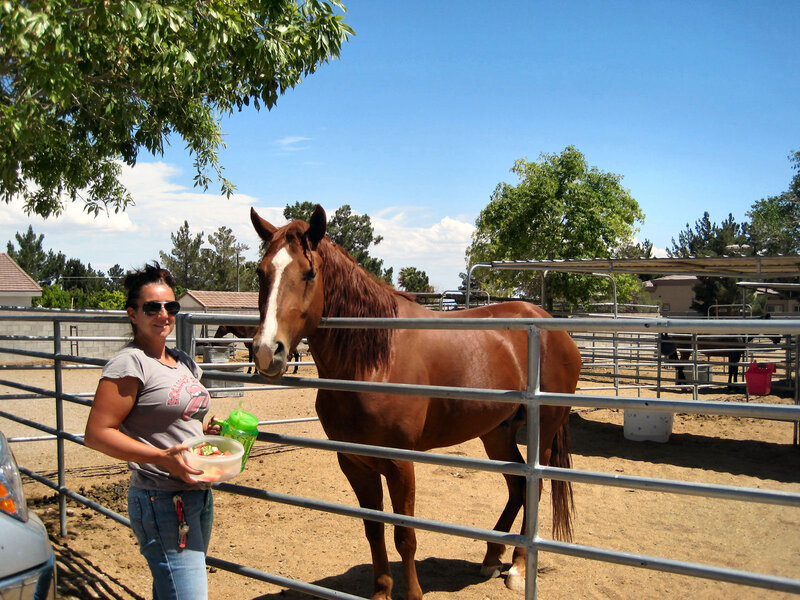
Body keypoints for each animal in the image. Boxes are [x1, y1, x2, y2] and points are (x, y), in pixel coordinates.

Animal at [248, 205, 582, 600]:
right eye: (261, 272)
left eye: (309, 272)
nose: (267, 351)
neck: (375, 360)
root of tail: (552, 326)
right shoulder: (355, 463)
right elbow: (374, 529)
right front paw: (380, 591)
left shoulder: (400, 464)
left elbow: (404, 535)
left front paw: (412, 593)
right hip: (496, 433)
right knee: (517, 486)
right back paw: (491, 557)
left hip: (541, 432)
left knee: (534, 487)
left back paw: (516, 566)